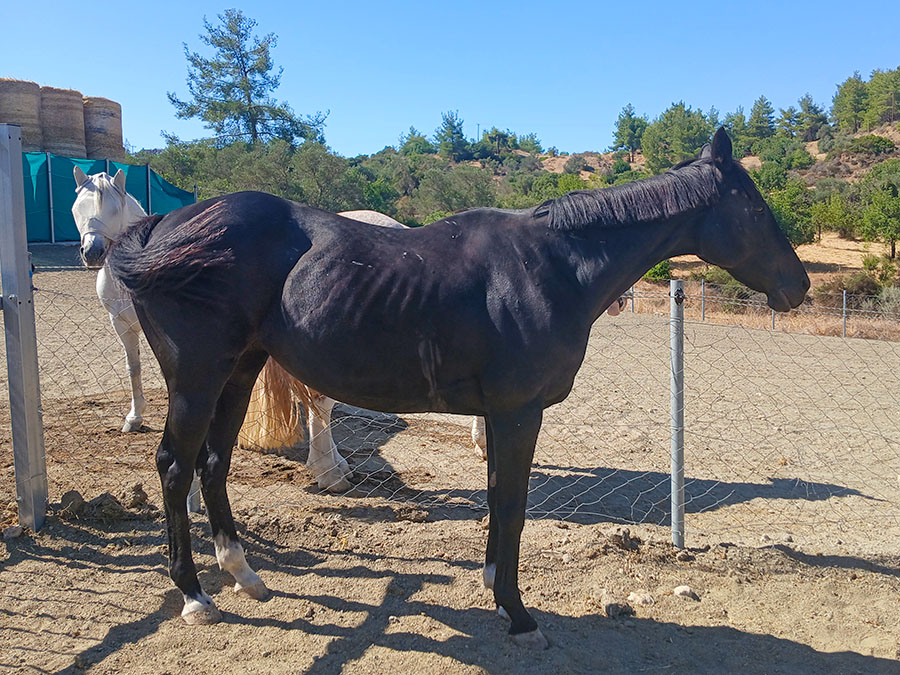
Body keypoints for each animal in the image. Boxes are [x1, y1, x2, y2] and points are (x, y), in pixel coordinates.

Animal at [105, 128, 809, 648]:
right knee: (175, 466)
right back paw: (195, 595)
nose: (798, 285)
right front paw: (518, 614)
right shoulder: (520, 414)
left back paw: (245, 576)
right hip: (197, 378)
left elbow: (499, 501)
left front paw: (499, 593)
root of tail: (164, 228)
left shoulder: (500, 417)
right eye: (754, 208)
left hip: (239, 372)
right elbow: (512, 504)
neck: (550, 266)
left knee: (213, 464)